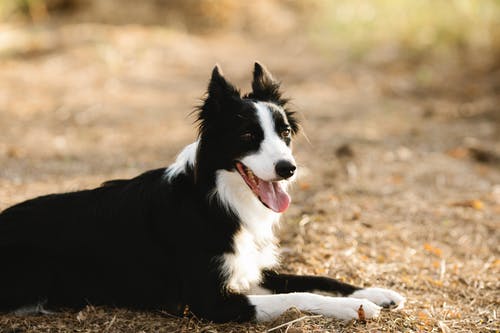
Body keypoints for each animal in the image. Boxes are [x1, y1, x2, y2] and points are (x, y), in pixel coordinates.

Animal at [0, 63, 406, 322]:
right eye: (248, 136)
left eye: (286, 133)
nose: (288, 168)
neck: (217, 199)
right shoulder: (205, 300)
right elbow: (299, 294)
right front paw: (358, 310)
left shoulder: (247, 268)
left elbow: (315, 279)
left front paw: (375, 293)